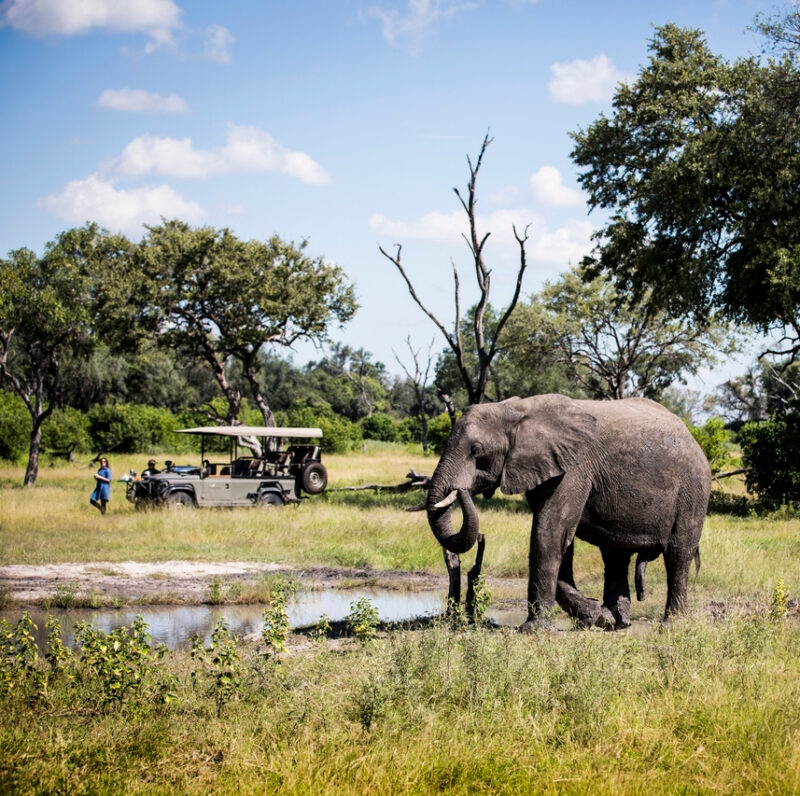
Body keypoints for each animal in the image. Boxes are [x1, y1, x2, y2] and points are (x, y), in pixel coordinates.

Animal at [425, 395, 711, 631]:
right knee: (615, 555)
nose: (461, 491)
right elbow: (561, 540)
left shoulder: (573, 469)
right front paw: (593, 616)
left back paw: (671, 627)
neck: (516, 410)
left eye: (476, 450)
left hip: (693, 492)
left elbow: (549, 534)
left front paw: (533, 631)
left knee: (678, 555)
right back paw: (616, 623)